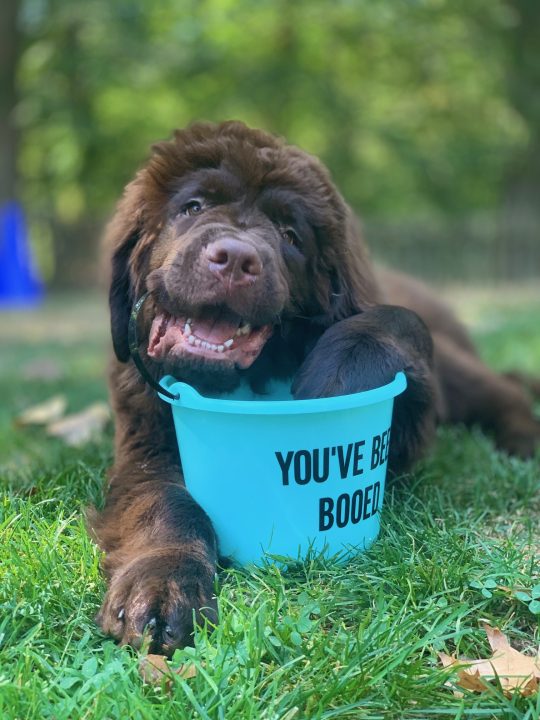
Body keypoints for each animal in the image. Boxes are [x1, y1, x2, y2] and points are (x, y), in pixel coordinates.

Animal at [89, 121, 540, 656]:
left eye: (290, 235)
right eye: (193, 207)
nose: (236, 258)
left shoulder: (409, 418)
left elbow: (398, 321)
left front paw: (339, 372)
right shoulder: (146, 441)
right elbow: (166, 502)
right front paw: (161, 585)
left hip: (456, 372)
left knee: (505, 391)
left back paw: (524, 441)